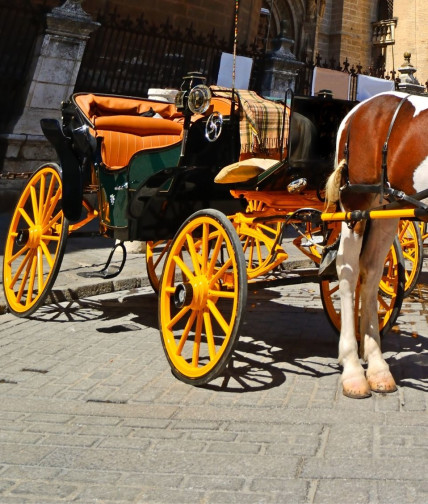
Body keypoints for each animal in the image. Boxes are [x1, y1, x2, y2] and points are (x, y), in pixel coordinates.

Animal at [324, 89, 428, 398]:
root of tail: (358, 110)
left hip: (386, 207)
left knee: (370, 274)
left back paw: (377, 364)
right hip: (355, 204)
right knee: (347, 270)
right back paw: (353, 369)